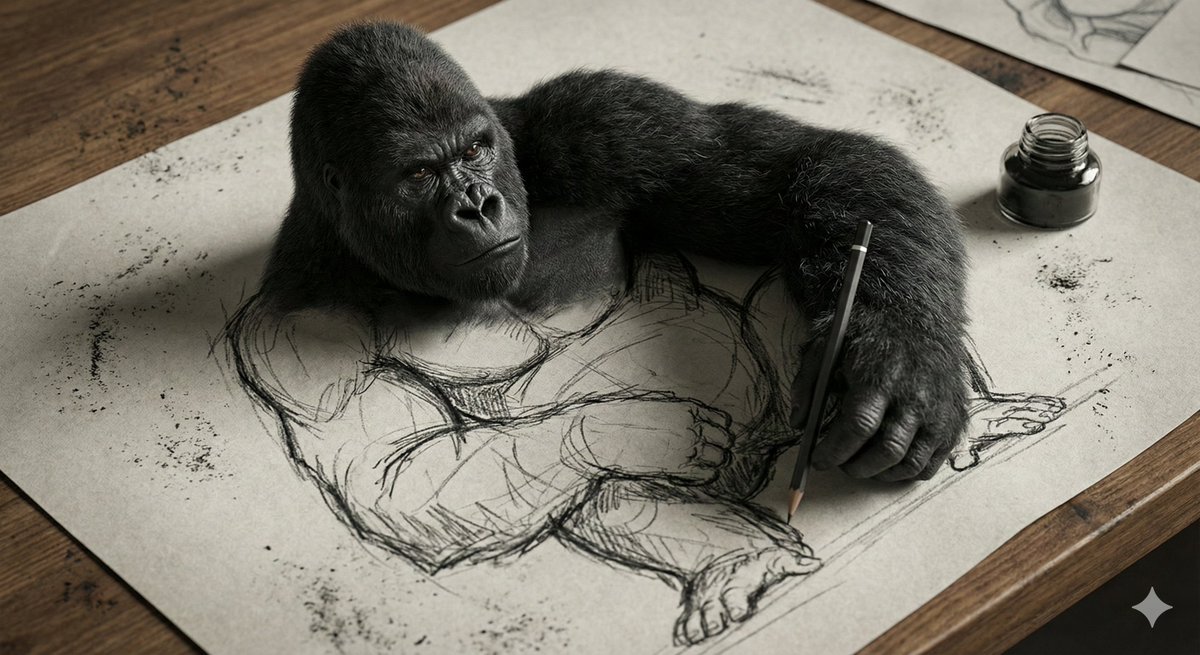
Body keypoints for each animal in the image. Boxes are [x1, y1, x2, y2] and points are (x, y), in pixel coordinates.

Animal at [226, 22, 969, 644]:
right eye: (418, 174)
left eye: (476, 149)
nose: (477, 204)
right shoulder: (291, 333)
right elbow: (396, 482)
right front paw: (629, 426)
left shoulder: (597, 119)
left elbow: (798, 168)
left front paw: (899, 370)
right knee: (586, 488)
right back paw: (737, 565)